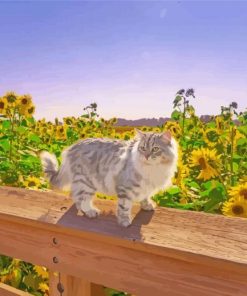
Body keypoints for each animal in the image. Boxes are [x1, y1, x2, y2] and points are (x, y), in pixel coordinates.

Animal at [41, 130, 178, 227]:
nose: (146, 156)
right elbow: (124, 207)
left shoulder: (146, 186)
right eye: (143, 148)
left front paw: (147, 205)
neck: (152, 169)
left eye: (155, 149)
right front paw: (124, 222)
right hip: (86, 183)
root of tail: (72, 147)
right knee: (81, 198)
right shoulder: (125, 188)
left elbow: (145, 196)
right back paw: (90, 212)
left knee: (75, 196)